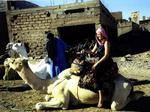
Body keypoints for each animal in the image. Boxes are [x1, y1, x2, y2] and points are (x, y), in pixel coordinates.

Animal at [6, 57, 139, 110]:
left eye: (14, 60)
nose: (6, 59)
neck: (50, 84)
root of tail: (129, 83)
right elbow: (47, 98)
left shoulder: (62, 98)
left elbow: (40, 105)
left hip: (121, 90)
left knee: (116, 105)